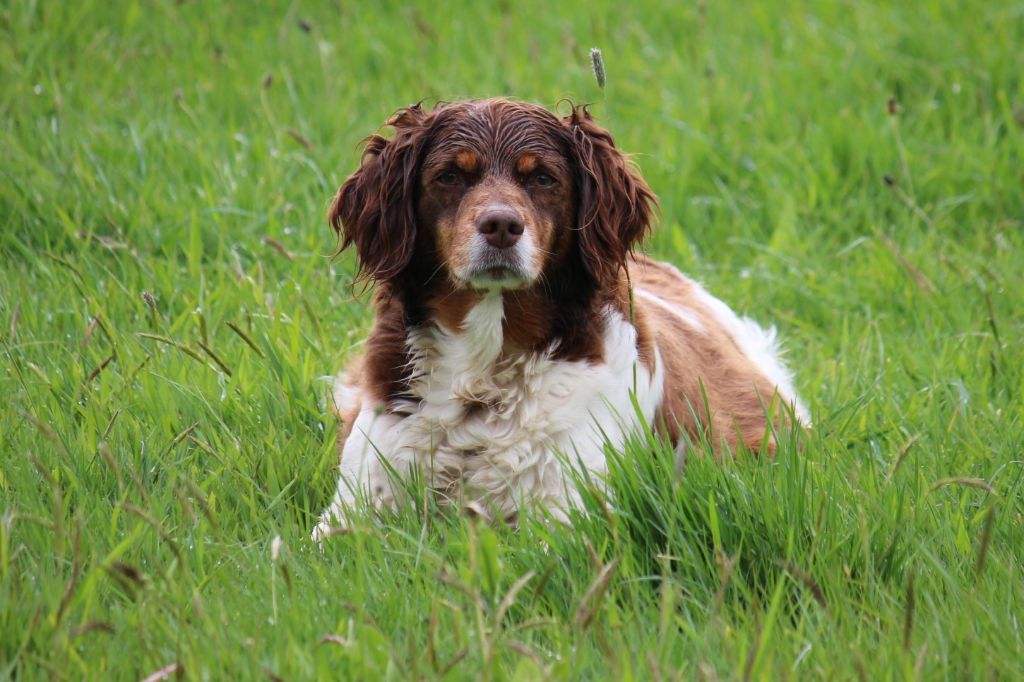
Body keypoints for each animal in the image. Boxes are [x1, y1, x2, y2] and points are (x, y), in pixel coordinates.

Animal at [311, 99, 806, 536]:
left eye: (544, 178)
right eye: (450, 175)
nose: (502, 226)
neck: (484, 368)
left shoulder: (566, 511)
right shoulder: (353, 505)